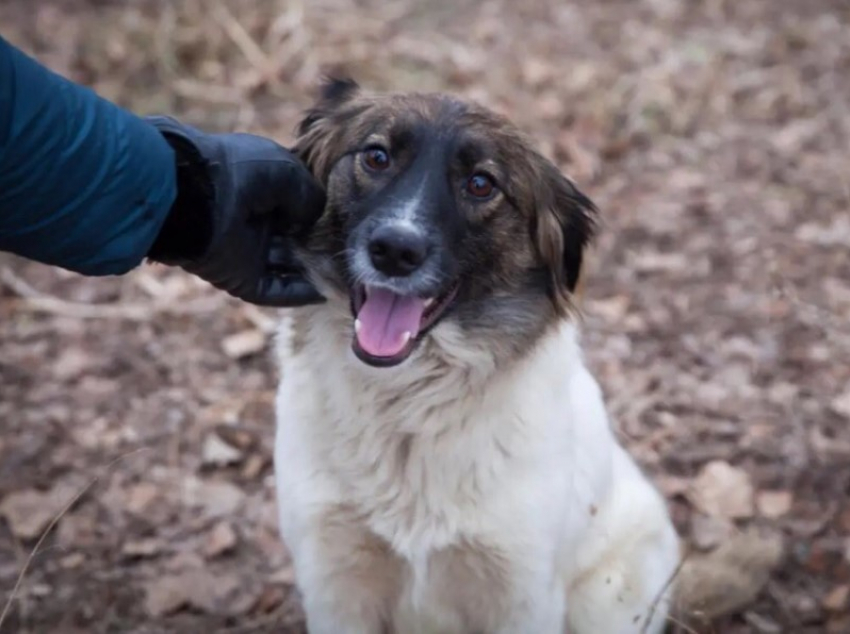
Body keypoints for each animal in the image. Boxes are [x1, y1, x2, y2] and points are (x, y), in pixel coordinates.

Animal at [274, 79, 680, 632]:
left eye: (481, 184)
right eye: (376, 156)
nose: (395, 251)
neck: (405, 406)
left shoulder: (521, 589)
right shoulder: (334, 578)